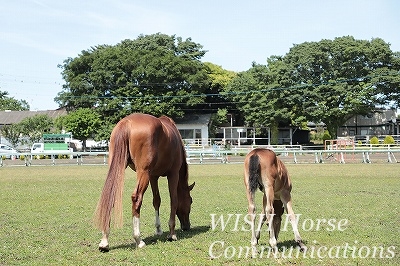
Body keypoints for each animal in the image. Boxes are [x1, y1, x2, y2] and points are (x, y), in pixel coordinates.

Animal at [94, 113, 194, 250]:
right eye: (190, 201)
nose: (186, 226)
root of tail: (127, 122)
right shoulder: (173, 174)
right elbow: (173, 200)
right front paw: (172, 234)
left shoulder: (153, 177)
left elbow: (156, 201)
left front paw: (158, 229)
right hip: (143, 172)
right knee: (137, 198)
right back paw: (138, 239)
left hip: (119, 167)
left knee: (110, 196)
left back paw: (104, 241)